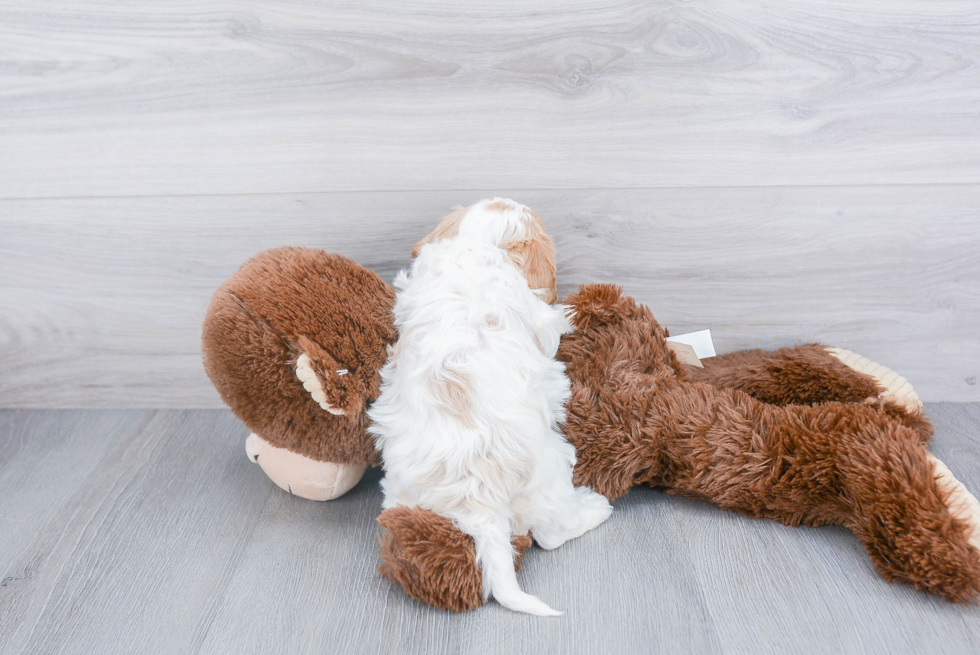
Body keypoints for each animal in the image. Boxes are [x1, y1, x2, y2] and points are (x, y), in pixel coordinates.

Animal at [370, 199, 612, 616]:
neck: (474, 245)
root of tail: (478, 503)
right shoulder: (535, 314)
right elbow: (550, 328)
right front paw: (569, 314)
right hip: (553, 471)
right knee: (551, 533)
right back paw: (596, 508)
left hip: (405, 491)